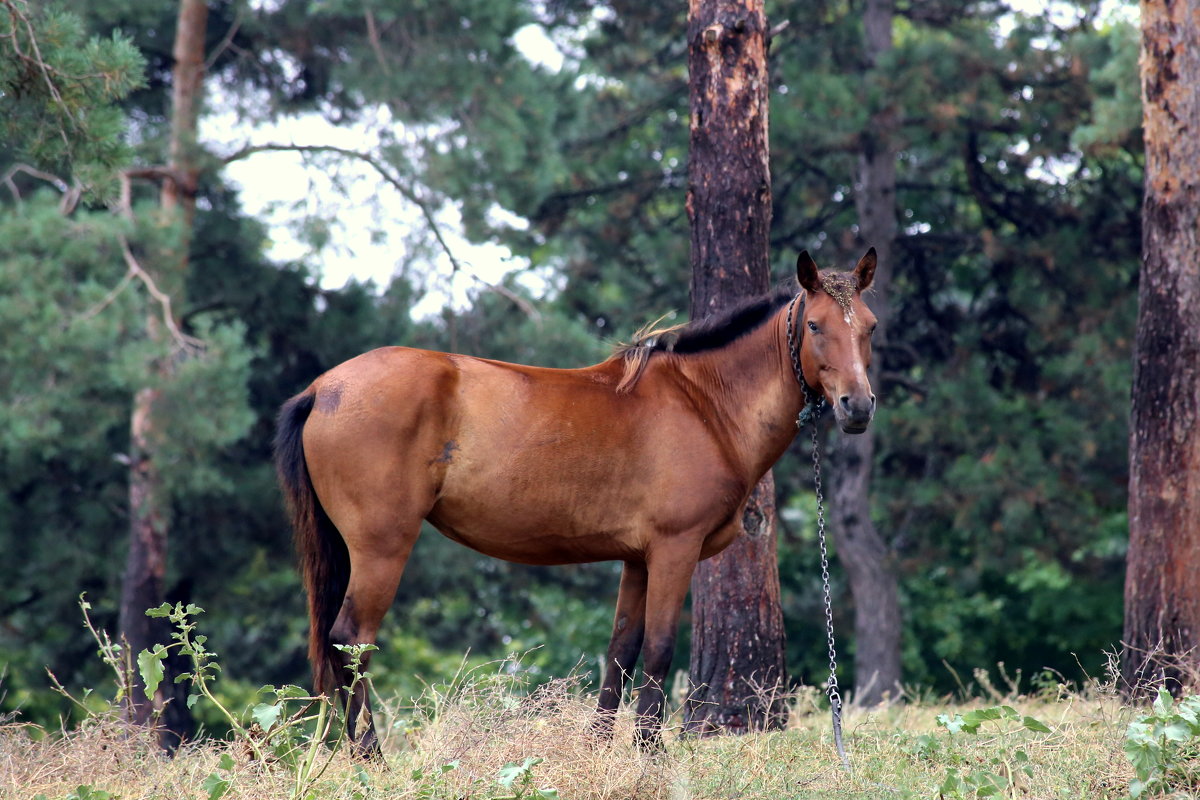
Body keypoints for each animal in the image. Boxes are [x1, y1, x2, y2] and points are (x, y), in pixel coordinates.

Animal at [278, 247, 883, 753]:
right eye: (814, 325)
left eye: (871, 327)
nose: (857, 408)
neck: (703, 403)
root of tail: (323, 388)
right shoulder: (674, 549)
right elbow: (660, 648)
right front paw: (650, 755)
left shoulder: (638, 559)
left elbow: (622, 651)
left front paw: (598, 750)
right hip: (382, 547)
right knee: (351, 641)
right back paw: (371, 758)